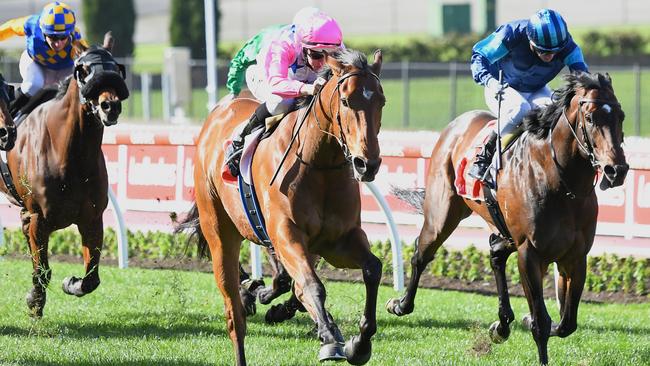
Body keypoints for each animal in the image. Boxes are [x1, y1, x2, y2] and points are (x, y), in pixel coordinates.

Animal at [0, 35, 128, 318]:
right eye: (84, 70)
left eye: (115, 69)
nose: (110, 105)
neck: (69, 153)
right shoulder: (39, 218)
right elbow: (42, 270)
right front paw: (35, 301)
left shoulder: (92, 218)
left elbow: (91, 278)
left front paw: (71, 283)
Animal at [177, 49, 384, 366]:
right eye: (347, 101)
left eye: (381, 101)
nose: (366, 164)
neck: (319, 164)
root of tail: (219, 112)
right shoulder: (287, 233)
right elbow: (311, 285)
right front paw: (330, 338)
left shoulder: (339, 241)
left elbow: (372, 269)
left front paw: (359, 343)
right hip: (219, 229)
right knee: (234, 315)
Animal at [384, 72, 628, 366]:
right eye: (590, 117)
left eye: (621, 116)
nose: (616, 170)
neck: (562, 183)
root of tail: (456, 125)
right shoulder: (530, 253)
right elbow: (541, 322)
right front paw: (536, 336)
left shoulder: (575, 256)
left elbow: (567, 323)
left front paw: (524, 319)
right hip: (442, 215)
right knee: (422, 253)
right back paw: (400, 304)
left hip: (502, 227)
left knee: (495, 253)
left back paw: (502, 324)